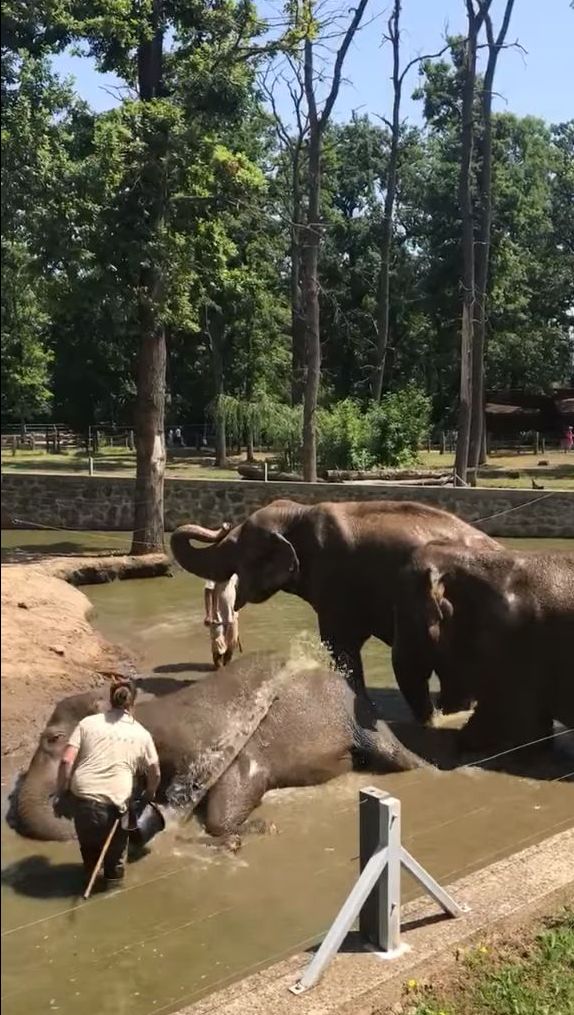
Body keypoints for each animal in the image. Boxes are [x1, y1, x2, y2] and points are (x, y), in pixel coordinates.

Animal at [7, 653, 423, 844]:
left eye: (53, 739)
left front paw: (256, 828)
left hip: (359, 717)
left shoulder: (225, 747)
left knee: (397, 756)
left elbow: (238, 788)